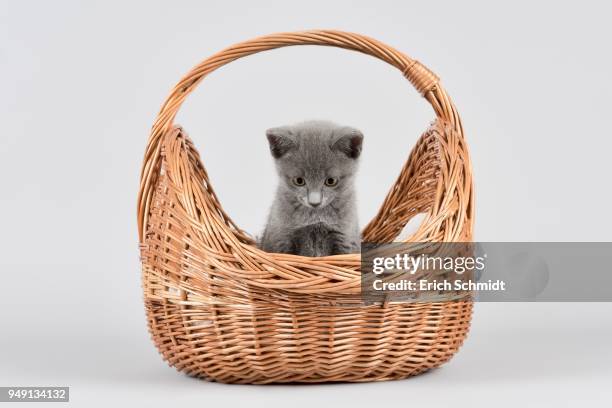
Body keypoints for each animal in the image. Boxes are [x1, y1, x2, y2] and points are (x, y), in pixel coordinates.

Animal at [258, 119, 364, 256]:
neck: (315, 217)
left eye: (331, 181)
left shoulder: (346, 240)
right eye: (299, 181)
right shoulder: (281, 240)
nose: (314, 202)